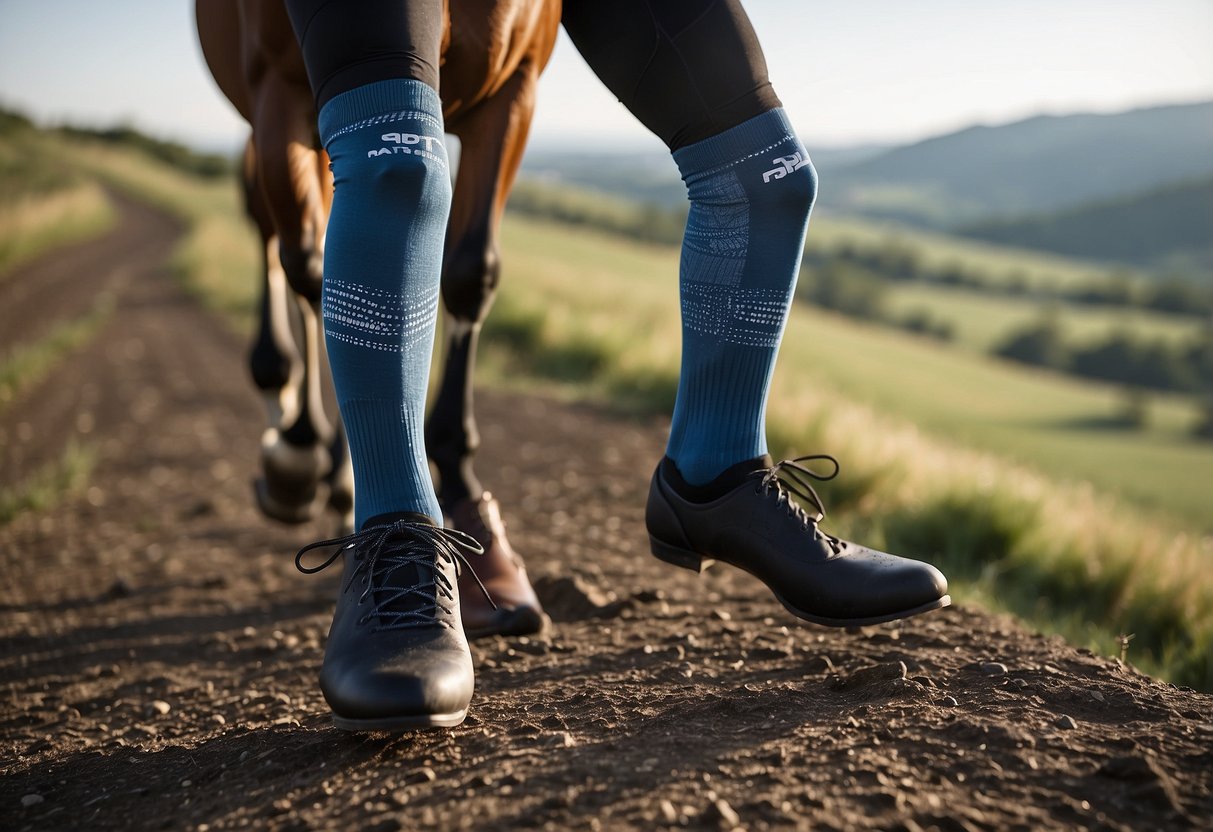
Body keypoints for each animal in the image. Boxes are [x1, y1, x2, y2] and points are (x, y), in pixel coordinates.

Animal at [196, 0, 560, 640]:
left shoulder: (513, 87)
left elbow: (470, 271)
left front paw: (463, 493)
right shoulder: (280, 87)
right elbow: (312, 267)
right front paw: (311, 456)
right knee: (281, 241)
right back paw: (299, 440)